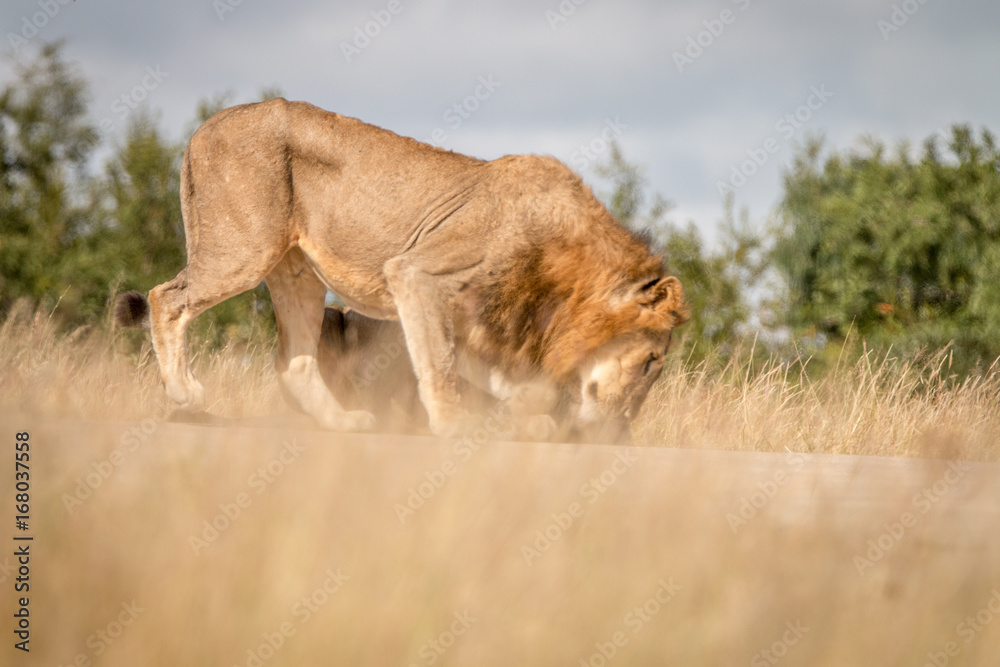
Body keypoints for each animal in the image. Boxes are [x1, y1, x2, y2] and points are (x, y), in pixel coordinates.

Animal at [141, 98, 688, 442]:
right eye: (650, 364)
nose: (622, 431)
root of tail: (206, 125)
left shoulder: (467, 320)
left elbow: (492, 378)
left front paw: (527, 422)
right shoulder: (419, 275)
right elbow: (438, 366)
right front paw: (454, 426)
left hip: (298, 275)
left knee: (294, 364)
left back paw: (343, 423)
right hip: (242, 251)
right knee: (164, 297)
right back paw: (183, 393)